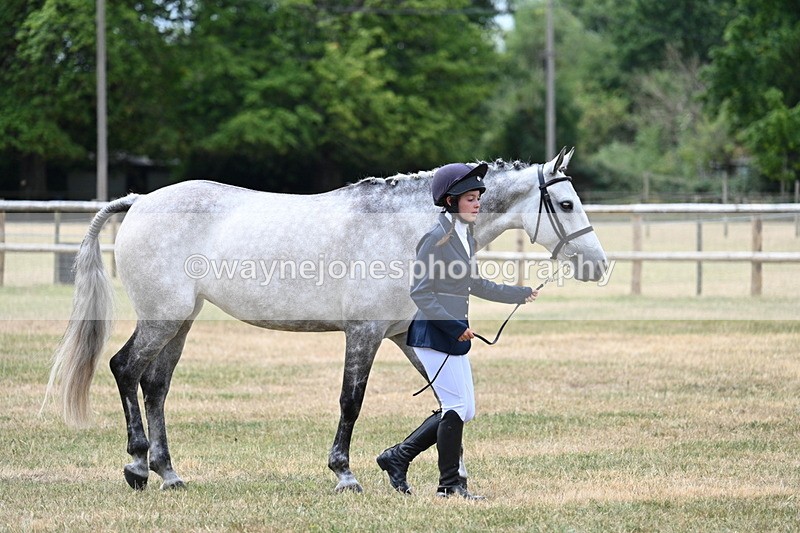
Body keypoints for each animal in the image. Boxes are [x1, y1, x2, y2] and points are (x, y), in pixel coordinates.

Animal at [44, 147, 608, 492]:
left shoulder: (405, 335)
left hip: (181, 322)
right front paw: (345, 474)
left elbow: (447, 404)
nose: (599, 266)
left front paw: (449, 475)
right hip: (163, 318)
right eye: (565, 203)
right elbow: (351, 402)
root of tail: (140, 200)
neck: (406, 229)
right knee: (125, 370)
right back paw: (137, 465)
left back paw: (168, 472)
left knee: (155, 385)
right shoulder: (364, 333)